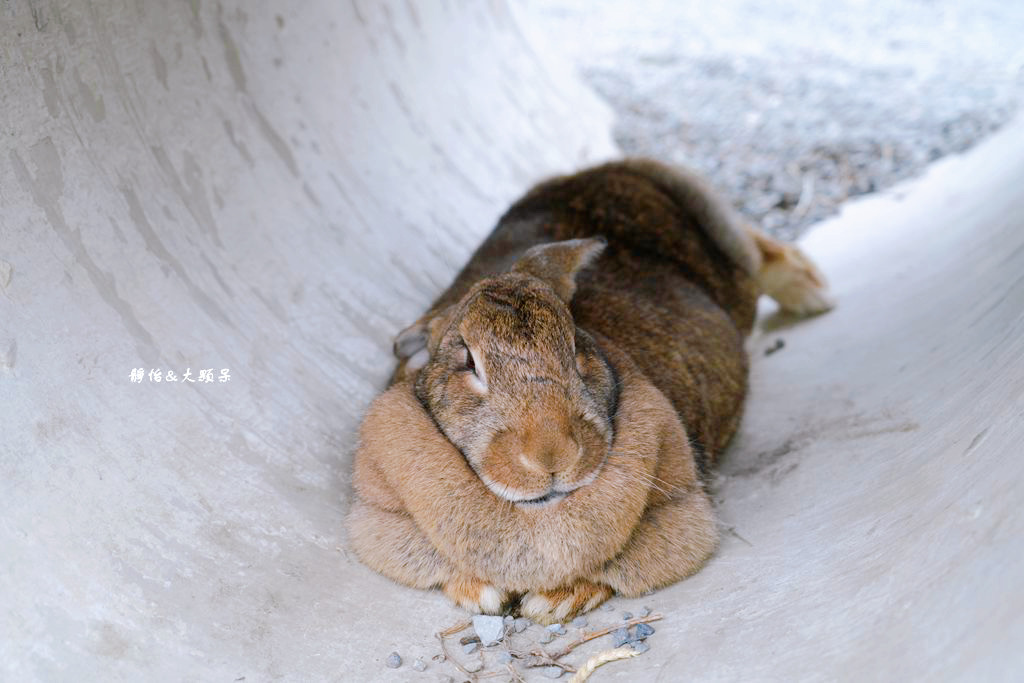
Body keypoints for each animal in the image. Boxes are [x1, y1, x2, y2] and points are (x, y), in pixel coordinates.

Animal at [344, 156, 831, 626]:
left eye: (577, 345)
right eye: (468, 362)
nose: (553, 454)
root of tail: (608, 170)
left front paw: (551, 603)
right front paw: (481, 594)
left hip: (725, 241)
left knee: (760, 253)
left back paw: (814, 296)